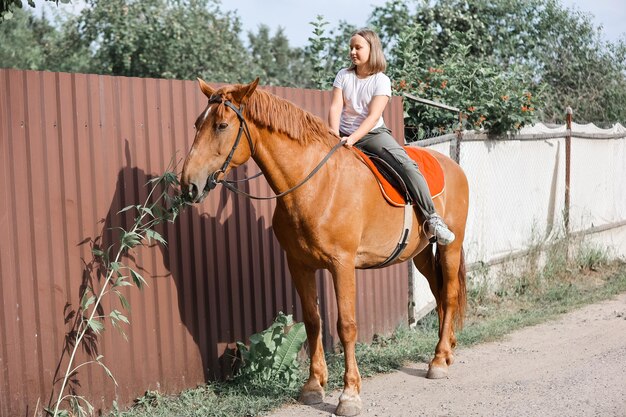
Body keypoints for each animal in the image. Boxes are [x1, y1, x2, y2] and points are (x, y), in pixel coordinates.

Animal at [178, 79, 466, 416]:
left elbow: (346, 326)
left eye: (222, 125)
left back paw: (438, 361)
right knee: (440, 293)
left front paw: (349, 394)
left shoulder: (342, 265)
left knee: (449, 293)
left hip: (450, 248)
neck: (315, 185)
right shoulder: (299, 264)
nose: (189, 185)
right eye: (197, 124)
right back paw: (445, 352)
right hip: (420, 254)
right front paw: (314, 385)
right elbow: (313, 322)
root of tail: (452, 166)